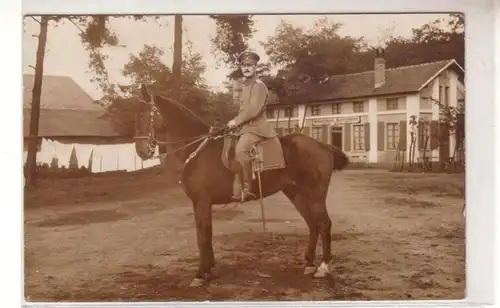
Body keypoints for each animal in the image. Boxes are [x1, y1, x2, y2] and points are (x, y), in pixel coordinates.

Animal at [135, 83, 350, 286]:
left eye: (146, 115)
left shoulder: (201, 202)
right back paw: (309, 264)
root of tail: (323, 145)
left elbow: (202, 237)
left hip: (315, 195)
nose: (141, 151)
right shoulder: (204, 204)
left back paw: (323, 267)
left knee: (324, 224)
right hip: (296, 194)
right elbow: (207, 235)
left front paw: (200, 274)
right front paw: (209, 269)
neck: (198, 150)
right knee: (313, 224)